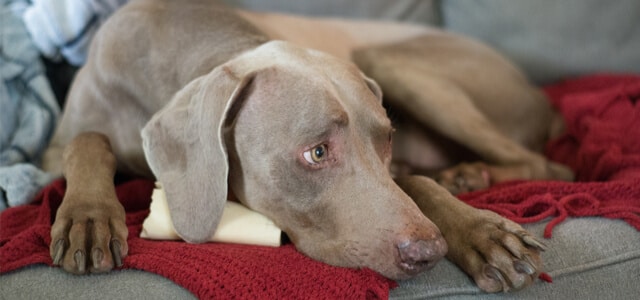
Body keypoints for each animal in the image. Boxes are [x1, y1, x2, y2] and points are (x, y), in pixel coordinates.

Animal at [43, 0, 576, 292]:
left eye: (387, 139)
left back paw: (466, 176)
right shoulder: (49, 151)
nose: (429, 252)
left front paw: (484, 234)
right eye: (316, 153)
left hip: (389, 58)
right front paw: (88, 218)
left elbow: (415, 183)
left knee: (549, 166)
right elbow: (87, 140)